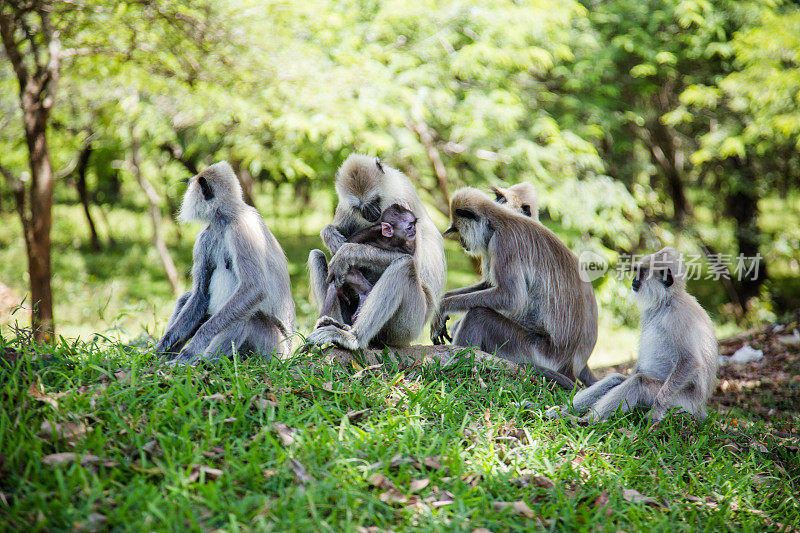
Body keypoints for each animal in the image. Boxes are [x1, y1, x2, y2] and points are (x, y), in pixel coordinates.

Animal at [155, 160, 296, 364]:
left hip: (273, 349)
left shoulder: (242, 229)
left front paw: (191, 350)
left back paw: (201, 362)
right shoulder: (205, 238)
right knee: (188, 299)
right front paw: (160, 347)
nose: (185, 194)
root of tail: (288, 354)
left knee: (249, 317)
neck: (225, 219)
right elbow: (200, 294)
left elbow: (254, 289)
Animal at [304, 155, 446, 350]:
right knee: (316, 255)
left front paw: (347, 252)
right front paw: (331, 236)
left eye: (374, 201)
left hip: (407, 327)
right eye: (359, 207)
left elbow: (414, 259)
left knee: (405, 266)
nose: (370, 213)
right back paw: (336, 324)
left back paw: (354, 338)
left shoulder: (403, 195)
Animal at [428, 187, 596, 386]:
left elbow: (511, 298)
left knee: (478, 315)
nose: (462, 242)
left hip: (532, 351)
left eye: (458, 229)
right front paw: (442, 302)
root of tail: (567, 363)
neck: (497, 221)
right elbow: (489, 284)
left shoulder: (503, 243)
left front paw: (443, 307)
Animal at [564, 246, 720, 424]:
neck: (666, 302)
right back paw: (560, 413)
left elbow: (690, 361)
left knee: (637, 382)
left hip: (681, 402)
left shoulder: (678, 317)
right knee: (616, 379)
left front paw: (657, 410)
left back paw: (586, 421)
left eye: (641, 273)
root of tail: (699, 408)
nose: (634, 280)